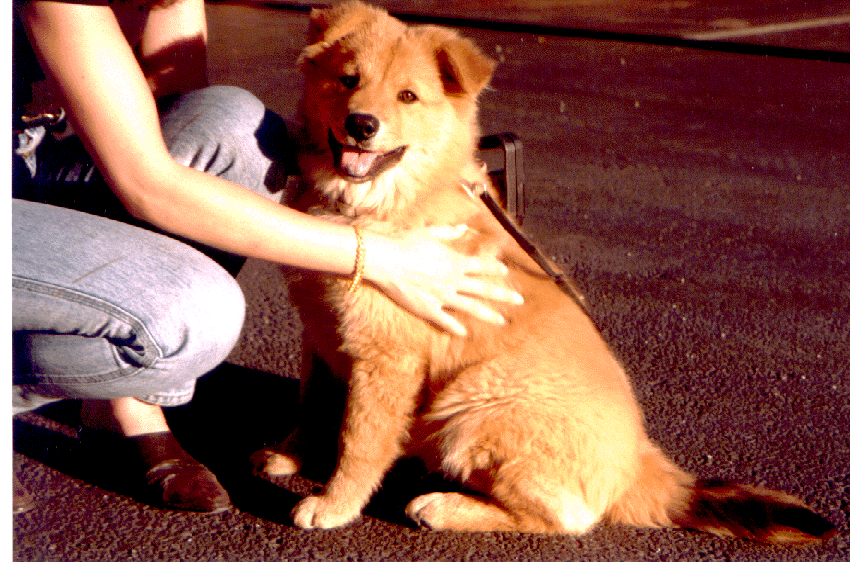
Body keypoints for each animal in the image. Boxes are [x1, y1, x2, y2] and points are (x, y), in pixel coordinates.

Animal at [252, 0, 835, 543]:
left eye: (408, 97)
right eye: (348, 80)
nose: (361, 125)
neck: (380, 204)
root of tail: (642, 465)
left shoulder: (387, 361)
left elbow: (361, 441)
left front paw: (335, 504)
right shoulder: (322, 333)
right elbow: (314, 405)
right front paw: (292, 454)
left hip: (472, 403)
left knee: (568, 518)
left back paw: (441, 506)